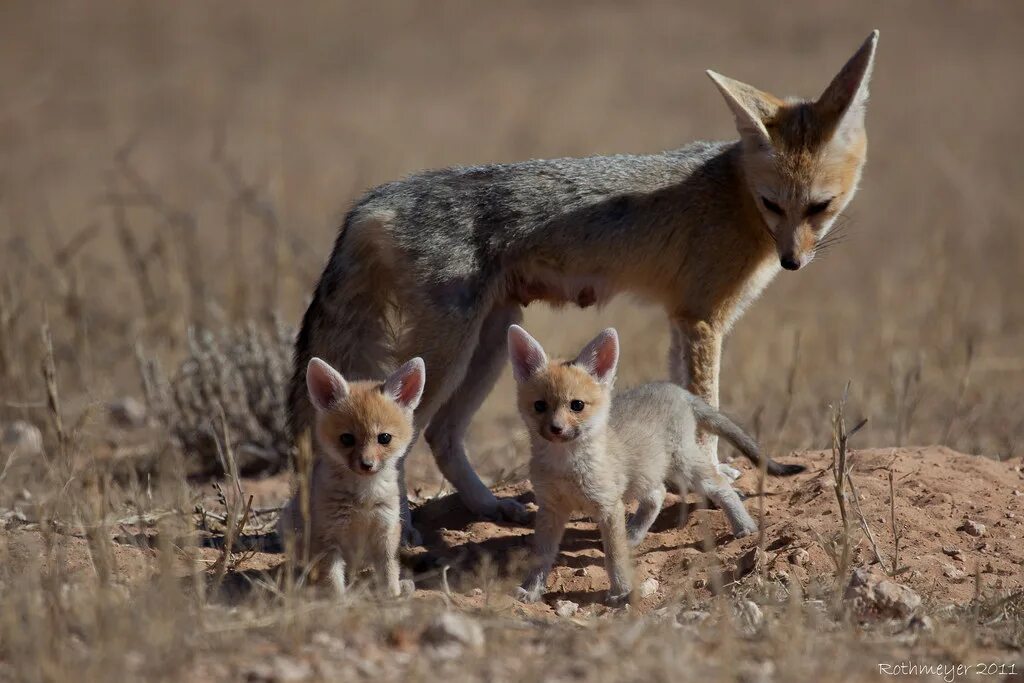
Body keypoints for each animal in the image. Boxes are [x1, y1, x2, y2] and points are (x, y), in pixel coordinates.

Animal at [290, 31, 880, 544]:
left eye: (819, 207)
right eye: (774, 205)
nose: (793, 262)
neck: (735, 194)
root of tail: (378, 196)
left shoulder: (682, 318)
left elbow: (687, 403)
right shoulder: (703, 319)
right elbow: (706, 409)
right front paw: (709, 476)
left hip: (493, 339)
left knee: (442, 435)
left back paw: (491, 506)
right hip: (451, 353)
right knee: (408, 432)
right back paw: (406, 527)